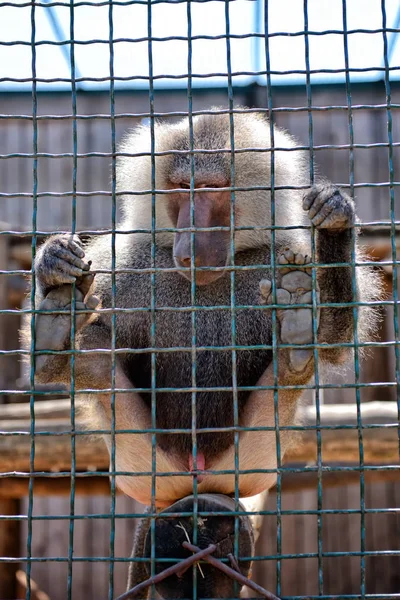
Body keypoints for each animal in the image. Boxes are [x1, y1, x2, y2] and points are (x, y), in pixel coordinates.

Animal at [22, 111, 382, 596]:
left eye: (211, 188)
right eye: (179, 188)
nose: (190, 241)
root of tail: (191, 480)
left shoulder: (284, 255)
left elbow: (331, 339)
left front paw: (334, 221)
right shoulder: (130, 261)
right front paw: (53, 264)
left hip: (249, 463)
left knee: (295, 362)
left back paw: (294, 338)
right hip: (141, 464)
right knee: (95, 353)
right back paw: (58, 336)